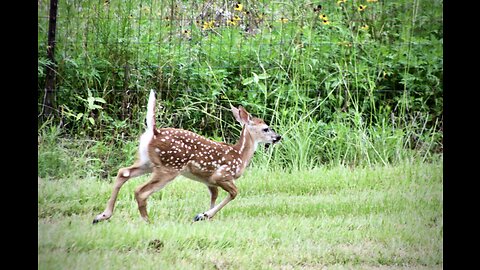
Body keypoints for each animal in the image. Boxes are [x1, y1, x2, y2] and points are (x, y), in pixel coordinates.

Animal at [93, 90, 282, 224]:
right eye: (266, 128)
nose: (278, 137)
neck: (240, 155)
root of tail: (154, 132)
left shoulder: (209, 180)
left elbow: (214, 196)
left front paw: (204, 215)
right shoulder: (221, 175)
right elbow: (234, 193)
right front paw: (204, 215)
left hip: (148, 162)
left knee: (123, 172)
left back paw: (102, 216)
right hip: (169, 167)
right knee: (140, 190)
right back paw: (148, 221)